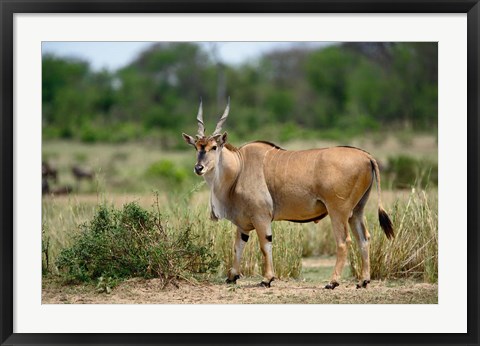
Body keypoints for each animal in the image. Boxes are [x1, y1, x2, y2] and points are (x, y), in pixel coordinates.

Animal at [182, 98, 392, 288]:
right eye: (196, 147)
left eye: (214, 147)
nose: (198, 168)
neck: (239, 167)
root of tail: (366, 156)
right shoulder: (243, 223)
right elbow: (237, 246)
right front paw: (232, 276)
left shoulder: (261, 217)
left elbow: (265, 245)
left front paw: (267, 279)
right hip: (357, 211)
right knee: (364, 239)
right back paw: (363, 281)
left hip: (338, 212)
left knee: (343, 241)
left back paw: (332, 282)